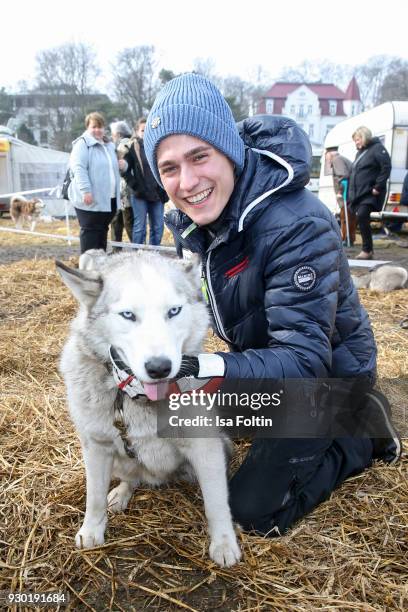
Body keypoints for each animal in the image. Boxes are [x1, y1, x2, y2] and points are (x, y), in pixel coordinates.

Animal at [57, 251, 242, 568]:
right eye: (128, 315)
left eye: (174, 311)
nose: (159, 368)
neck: (138, 398)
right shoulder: (97, 446)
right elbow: (94, 497)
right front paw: (92, 530)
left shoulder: (205, 447)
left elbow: (217, 502)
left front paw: (224, 542)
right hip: (122, 459)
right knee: (131, 477)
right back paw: (121, 493)